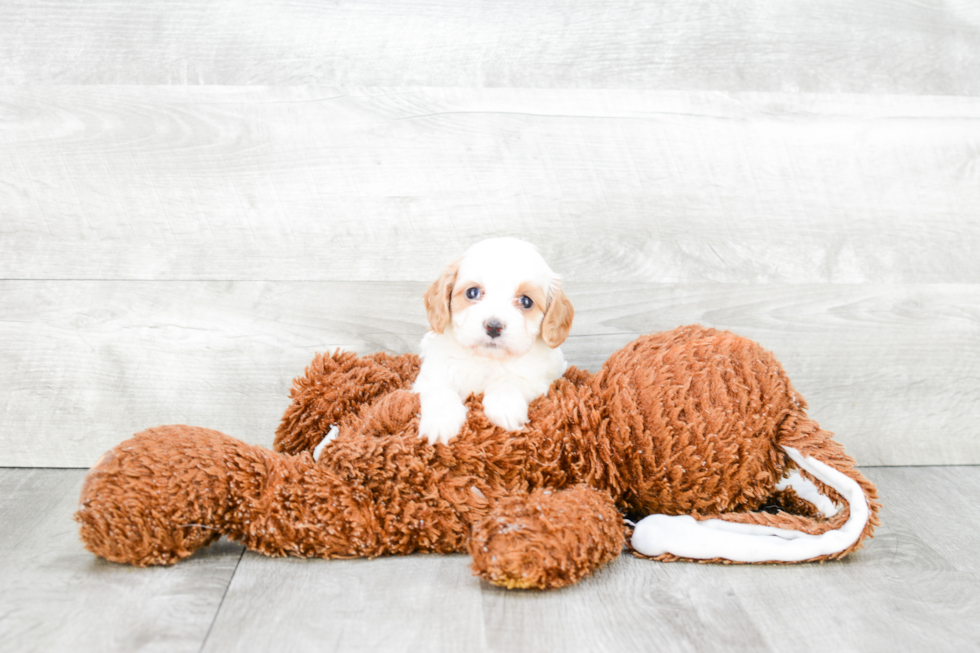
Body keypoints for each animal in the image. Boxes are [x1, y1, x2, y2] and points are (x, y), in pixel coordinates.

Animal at [414, 237, 576, 446]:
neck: (486, 358)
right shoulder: (432, 373)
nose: (493, 326)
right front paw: (441, 421)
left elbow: (510, 380)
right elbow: (440, 389)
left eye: (526, 301)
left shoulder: (540, 377)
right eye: (472, 293)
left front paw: (504, 406)